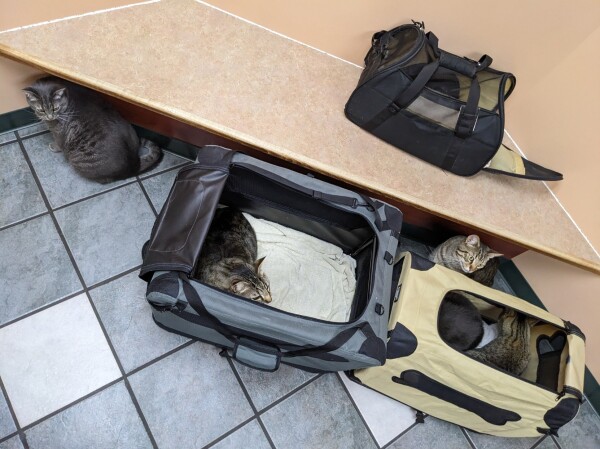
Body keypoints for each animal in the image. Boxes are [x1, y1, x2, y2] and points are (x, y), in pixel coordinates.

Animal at [23, 76, 162, 183]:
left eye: (55, 108)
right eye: (41, 110)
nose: (49, 116)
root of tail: (133, 165)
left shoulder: (59, 134)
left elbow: (58, 143)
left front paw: (54, 146)